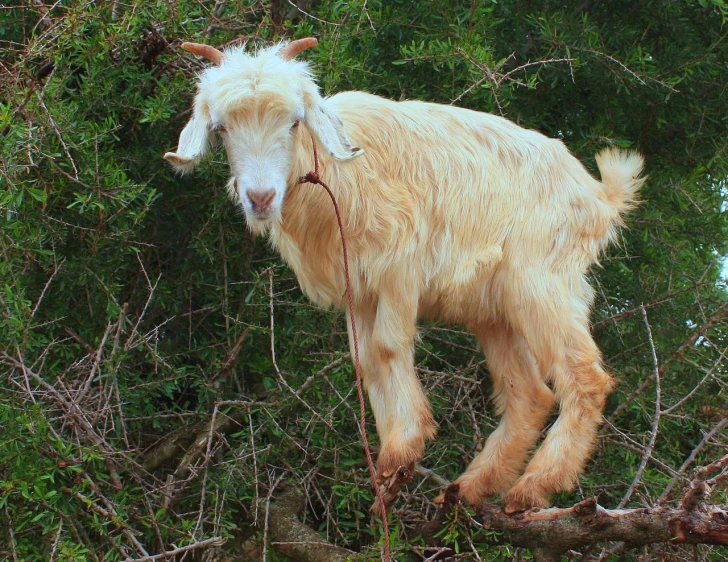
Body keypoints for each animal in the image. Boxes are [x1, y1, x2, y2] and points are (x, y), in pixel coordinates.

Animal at [165, 36, 644, 512]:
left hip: (542, 282)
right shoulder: (358, 291)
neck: (338, 178)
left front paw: (405, 448)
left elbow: (389, 346)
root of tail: (599, 197)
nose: (260, 197)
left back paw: (535, 486)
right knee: (529, 393)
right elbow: (366, 361)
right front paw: (389, 465)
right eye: (221, 129)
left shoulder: (399, 268)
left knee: (585, 377)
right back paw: (473, 486)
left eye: (294, 122)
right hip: (495, 310)